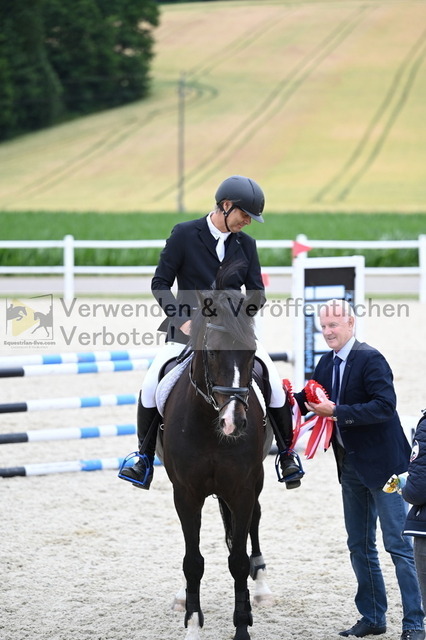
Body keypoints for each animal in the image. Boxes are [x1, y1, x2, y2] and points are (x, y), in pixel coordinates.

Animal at [159, 284, 281, 640]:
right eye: (212, 352)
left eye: (250, 353)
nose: (233, 422)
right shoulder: (185, 494)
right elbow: (193, 561)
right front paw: (192, 625)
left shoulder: (241, 489)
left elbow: (238, 560)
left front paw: (242, 626)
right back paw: (181, 596)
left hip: (255, 483)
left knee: (254, 521)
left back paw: (261, 588)